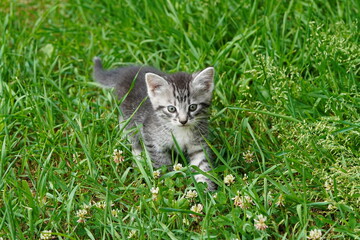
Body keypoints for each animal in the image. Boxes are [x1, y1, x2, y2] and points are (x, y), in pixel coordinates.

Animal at [93, 57, 217, 190]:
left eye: (193, 107)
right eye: (171, 109)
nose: (183, 120)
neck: (180, 130)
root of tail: (126, 71)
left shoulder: (199, 143)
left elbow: (202, 165)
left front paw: (206, 189)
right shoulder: (151, 136)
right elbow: (161, 163)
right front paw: (166, 182)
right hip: (128, 115)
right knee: (130, 134)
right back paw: (138, 158)